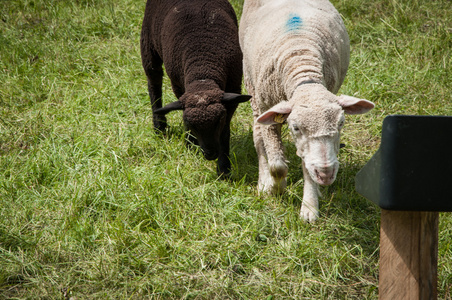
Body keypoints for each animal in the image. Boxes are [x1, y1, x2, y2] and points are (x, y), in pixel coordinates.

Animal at [140, 0, 251, 176]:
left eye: (219, 121)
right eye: (191, 124)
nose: (210, 154)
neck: (202, 70)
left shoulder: (233, 90)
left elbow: (224, 133)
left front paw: (223, 169)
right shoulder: (179, 85)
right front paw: (190, 144)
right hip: (148, 41)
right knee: (154, 81)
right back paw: (159, 126)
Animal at [240, 0, 374, 221]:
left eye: (341, 123)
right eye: (295, 127)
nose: (326, 174)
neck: (301, 62)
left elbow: (306, 166)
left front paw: (310, 207)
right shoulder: (267, 106)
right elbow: (277, 165)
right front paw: (276, 188)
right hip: (253, 90)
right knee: (258, 134)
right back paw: (263, 181)